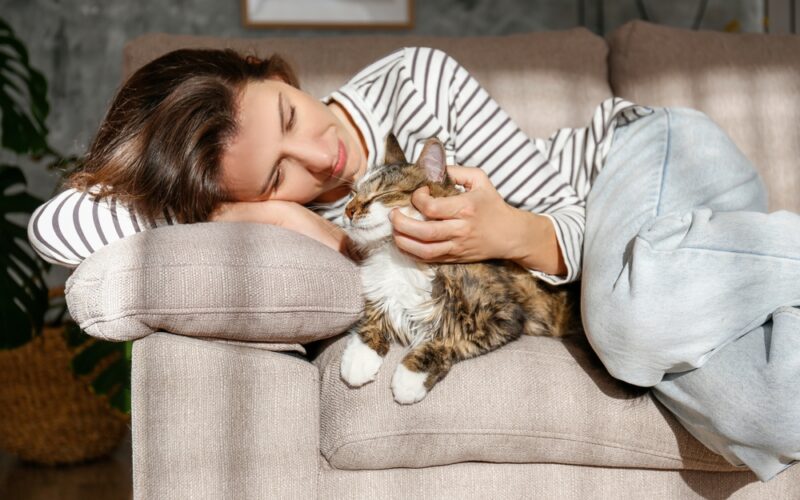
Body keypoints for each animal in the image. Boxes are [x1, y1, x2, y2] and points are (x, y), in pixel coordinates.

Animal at [338, 135, 580, 404]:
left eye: (384, 193)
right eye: (353, 193)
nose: (348, 210)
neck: (397, 256)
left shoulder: (503, 318)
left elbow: (449, 339)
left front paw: (409, 378)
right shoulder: (381, 296)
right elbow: (371, 323)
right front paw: (358, 362)